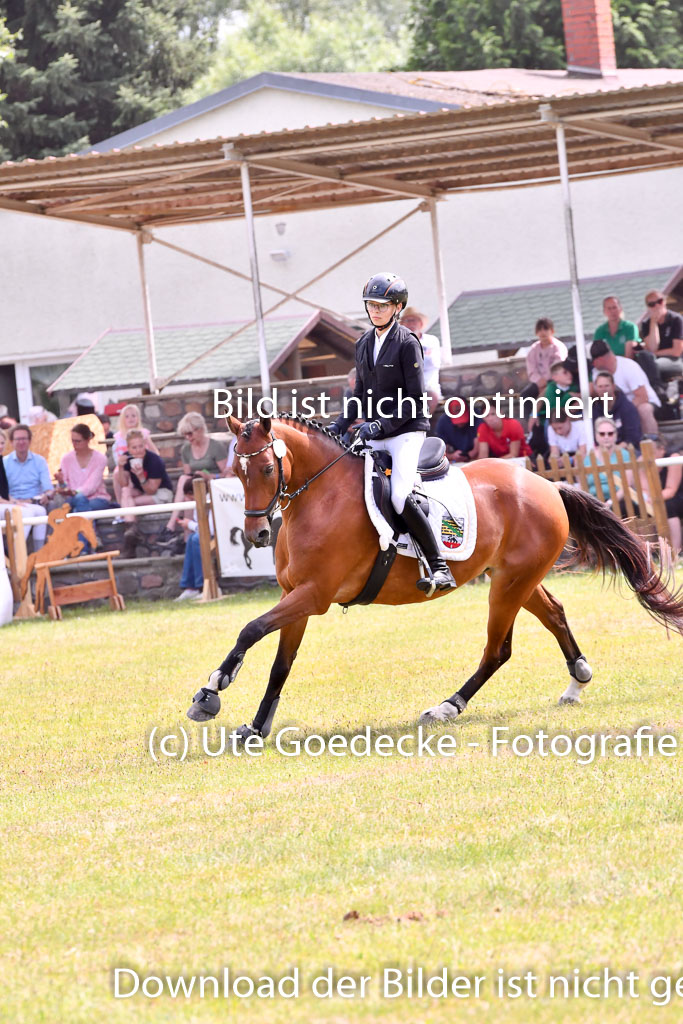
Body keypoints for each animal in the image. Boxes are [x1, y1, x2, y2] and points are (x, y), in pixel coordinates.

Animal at [187, 413, 683, 737]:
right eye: (236, 472)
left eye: (267, 468)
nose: (257, 533)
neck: (320, 496)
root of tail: (546, 485)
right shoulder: (297, 597)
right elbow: (280, 663)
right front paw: (256, 726)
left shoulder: (315, 595)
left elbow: (251, 628)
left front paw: (211, 692)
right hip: (515, 578)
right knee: (555, 614)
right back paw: (577, 682)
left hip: (508, 586)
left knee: (498, 650)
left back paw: (447, 707)